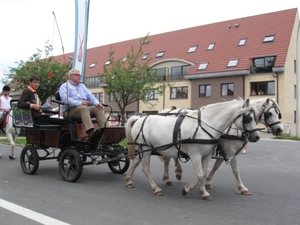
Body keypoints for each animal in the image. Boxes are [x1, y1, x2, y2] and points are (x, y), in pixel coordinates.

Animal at [125, 98, 260, 200]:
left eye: (256, 117)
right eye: (249, 118)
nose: (256, 136)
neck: (205, 125)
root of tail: (138, 118)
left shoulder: (207, 155)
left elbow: (204, 174)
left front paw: (203, 192)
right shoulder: (195, 155)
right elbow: (200, 175)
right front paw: (187, 189)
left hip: (145, 149)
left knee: (137, 162)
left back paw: (129, 180)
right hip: (145, 148)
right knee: (145, 168)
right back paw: (156, 188)